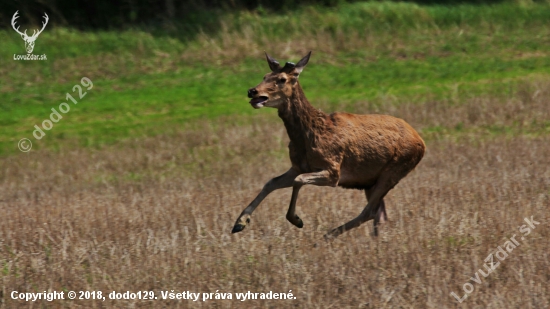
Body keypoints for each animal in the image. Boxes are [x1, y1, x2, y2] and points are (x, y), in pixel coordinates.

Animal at [233, 51, 426, 238]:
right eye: (265, 76)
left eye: (282, 79)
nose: (252, 91)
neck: (307, 137)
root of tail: (421, 141)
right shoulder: (297, 166)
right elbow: (271, 182)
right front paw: (240, 223)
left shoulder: (333, 170)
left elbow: (298, 180)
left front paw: (296, 219)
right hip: (371, 180)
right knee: (379, 214)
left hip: (395, 169)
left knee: (370, 211)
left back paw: (328, 235)